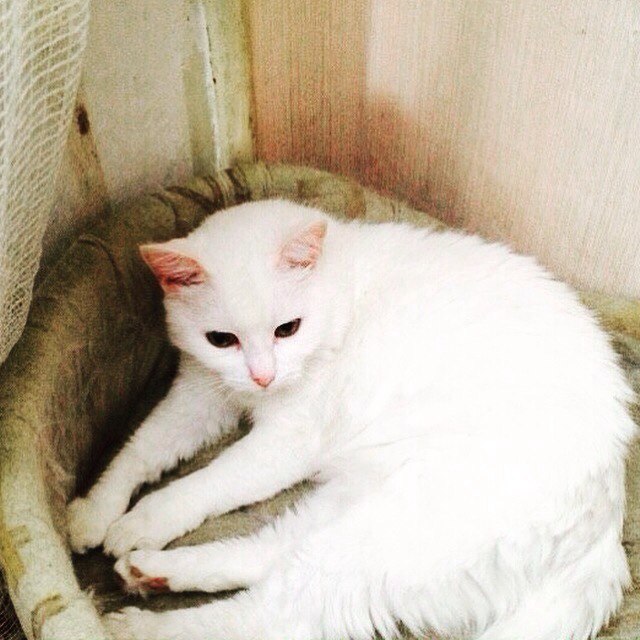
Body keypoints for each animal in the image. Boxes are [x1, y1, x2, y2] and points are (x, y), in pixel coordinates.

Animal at [67, 199, 636, 640]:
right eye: (221, 340)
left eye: (288, 329)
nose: (263, 377)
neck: (341, 297)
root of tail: (607, 533)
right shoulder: (199, 395)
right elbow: (139, 450)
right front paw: (97, 513)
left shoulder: (287, 441)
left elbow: (201, 485)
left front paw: (142, 520)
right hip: (351, 505)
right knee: (273, 552)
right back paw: (153, 572)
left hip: (396, 530)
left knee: (276, 614)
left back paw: (137, 625)